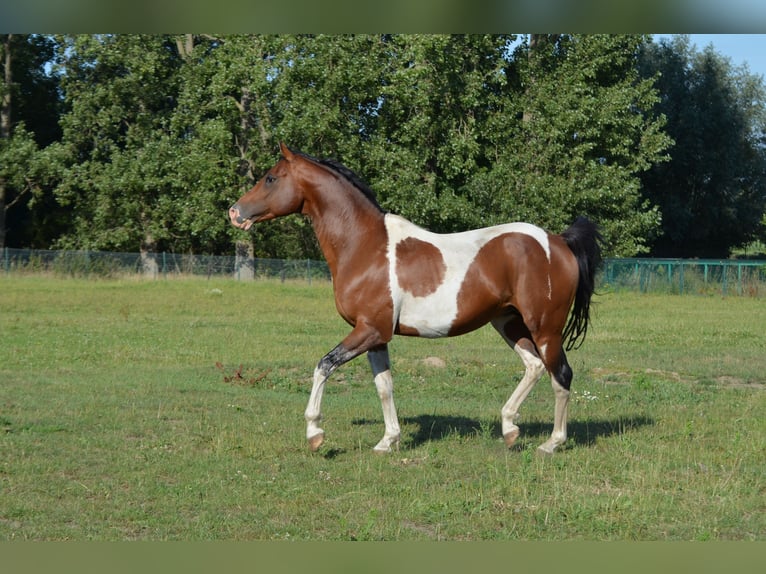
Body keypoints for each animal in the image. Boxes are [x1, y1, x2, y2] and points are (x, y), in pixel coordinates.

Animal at [231, 143, 604, 454]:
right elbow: (384, 385)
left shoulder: (368, 330)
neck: (364, 246)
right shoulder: (377, 335)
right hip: (508, 322)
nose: (235, 212)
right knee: (535, 367)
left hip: (546, 329)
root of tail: (558, 241)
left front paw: (315, 434)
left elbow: (324, 365)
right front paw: (388, 441)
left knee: (561, 375)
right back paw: (510, 429)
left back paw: (551, 443)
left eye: (271, 178)